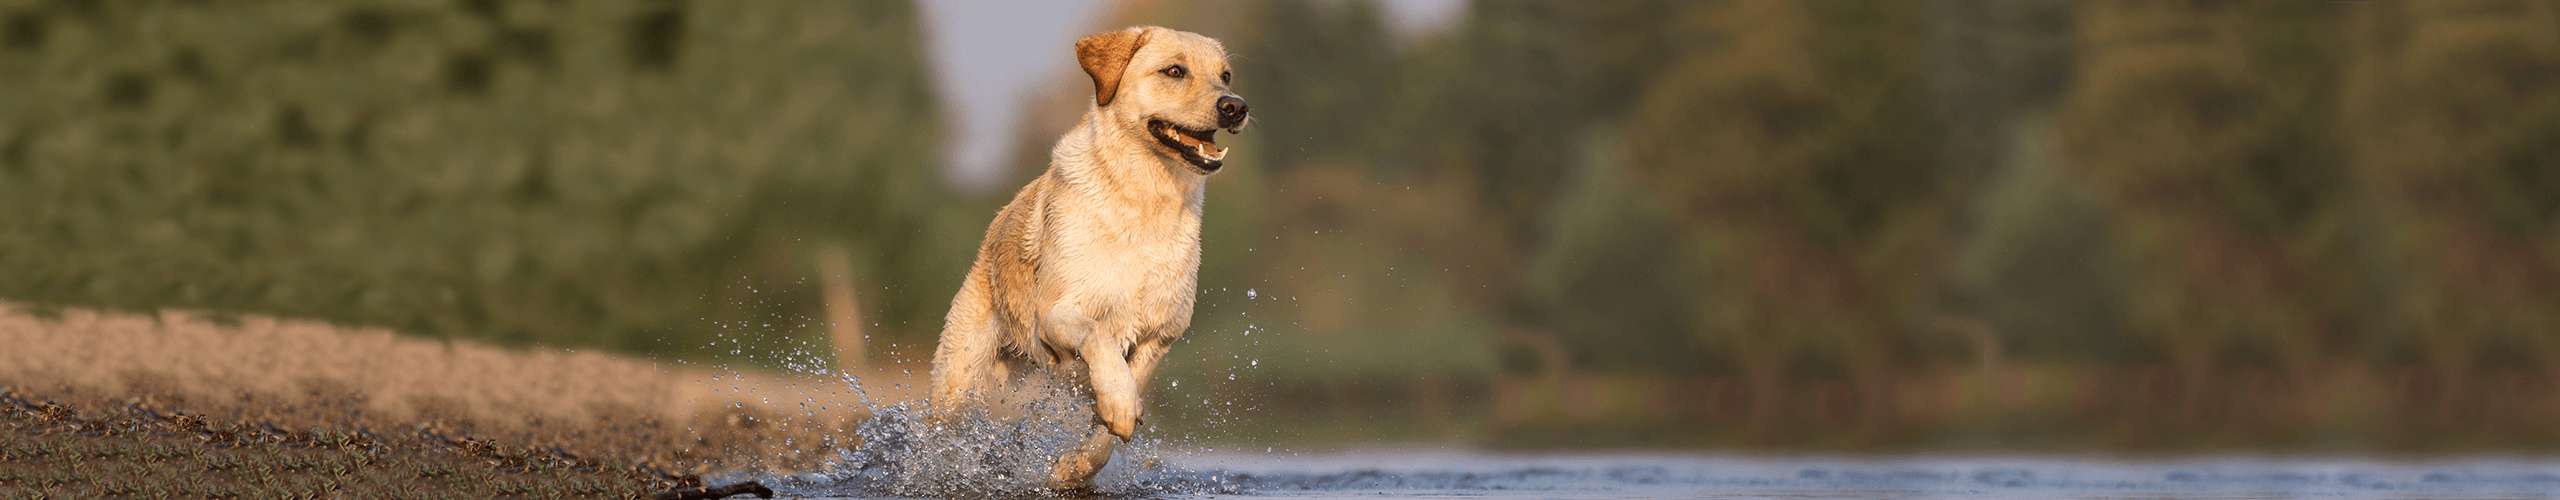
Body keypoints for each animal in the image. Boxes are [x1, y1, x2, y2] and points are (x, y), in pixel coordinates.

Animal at [931, 26, 1249, 487]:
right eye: (1174, 71)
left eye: (1225, 76)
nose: (1236, 106)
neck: (1145, 201)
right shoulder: (1058, 312)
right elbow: (1099, 336)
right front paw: (1117, 401)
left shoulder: (1159, 336)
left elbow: (1109, 430)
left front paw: (1077, 464)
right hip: (959, 379)